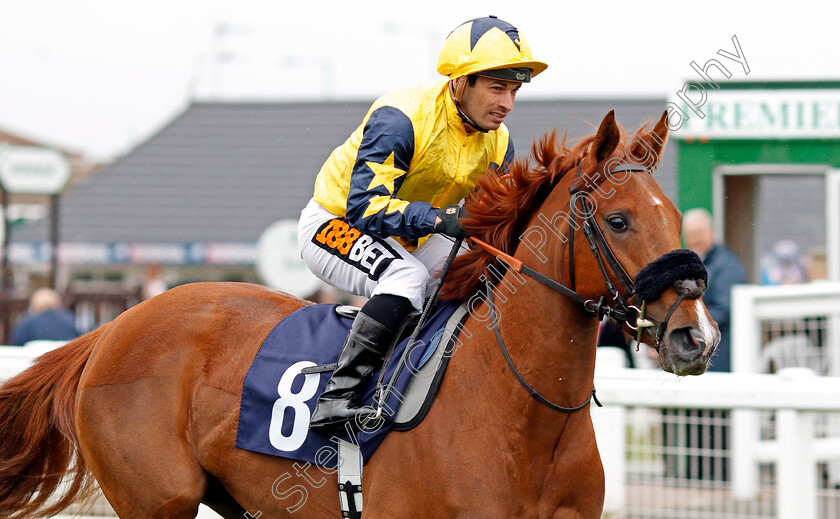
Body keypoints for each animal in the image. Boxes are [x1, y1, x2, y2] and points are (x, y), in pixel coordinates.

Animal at [0, 110, 720, 519]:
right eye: (619, 220)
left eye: (676, 216)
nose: (698, 336)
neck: (524, 413)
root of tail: (109, 329)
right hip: (156, 500)